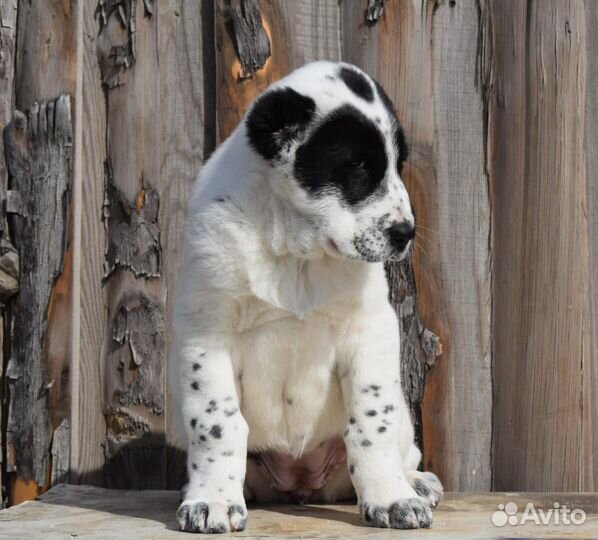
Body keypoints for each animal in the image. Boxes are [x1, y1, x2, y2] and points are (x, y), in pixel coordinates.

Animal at [171, 61, 442, 532]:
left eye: (398, 165)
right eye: (356, 166)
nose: (406, 232)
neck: (297, 252)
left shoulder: (370, 329)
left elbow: (372, 423)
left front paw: (391, 499)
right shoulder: (206, 333)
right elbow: (217, 422)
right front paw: (213, 500)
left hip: (403, 424)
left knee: (401, 442)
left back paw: (416, 482)